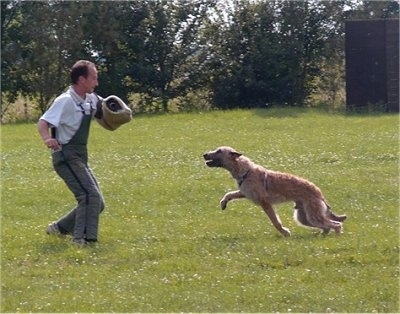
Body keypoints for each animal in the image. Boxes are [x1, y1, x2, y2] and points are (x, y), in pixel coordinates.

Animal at [203, 146, 346, 237]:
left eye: (219, 150)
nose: (204, 154)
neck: (245, 170)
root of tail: (319, 193)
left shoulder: (265, 203)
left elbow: (275, 221)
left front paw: (285, 232)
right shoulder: (244, 192)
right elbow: (229, 194)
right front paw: (223, 203)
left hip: (312, 214)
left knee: (336, 224)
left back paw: (336, 236)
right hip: (304, 217)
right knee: (327, 225)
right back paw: (323, 235)